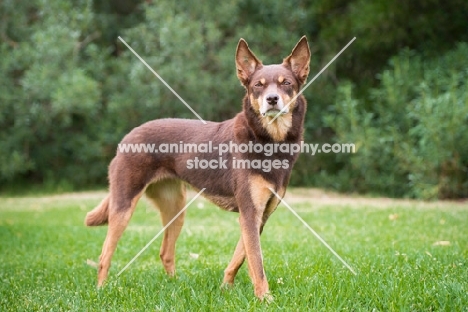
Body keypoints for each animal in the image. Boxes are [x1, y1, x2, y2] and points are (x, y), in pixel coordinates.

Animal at [85, 36, 310, 300]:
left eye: (286, 83)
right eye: (258, 85)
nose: (272, 99)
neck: (269, 141)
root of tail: (128, 137)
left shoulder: (260, 215)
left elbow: (240, 258)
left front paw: (226, 288)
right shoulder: (249, 212)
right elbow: (257, 262)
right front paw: (265, 299)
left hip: (176, 208)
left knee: (165, 252)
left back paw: (175, 286)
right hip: (123, 205)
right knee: (104, 256)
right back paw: (101, 291)